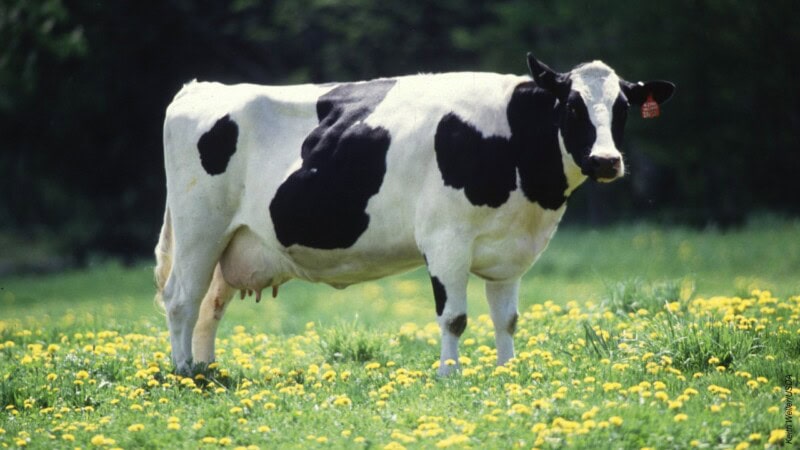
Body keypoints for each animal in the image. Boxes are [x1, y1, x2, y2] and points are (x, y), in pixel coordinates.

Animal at [154, 53, 674, 376]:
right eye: (571, 105)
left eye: (623, 108)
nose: (606, 161)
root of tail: (200, 89)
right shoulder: (445, 240)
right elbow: (455, 318)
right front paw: (450, 374)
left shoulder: (509, 252)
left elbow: (506, 319)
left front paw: (507, 370)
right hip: (199, 228)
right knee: (181, 299)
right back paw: (184, 373)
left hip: (232, 241)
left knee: (209, 306)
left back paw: (207, 369)